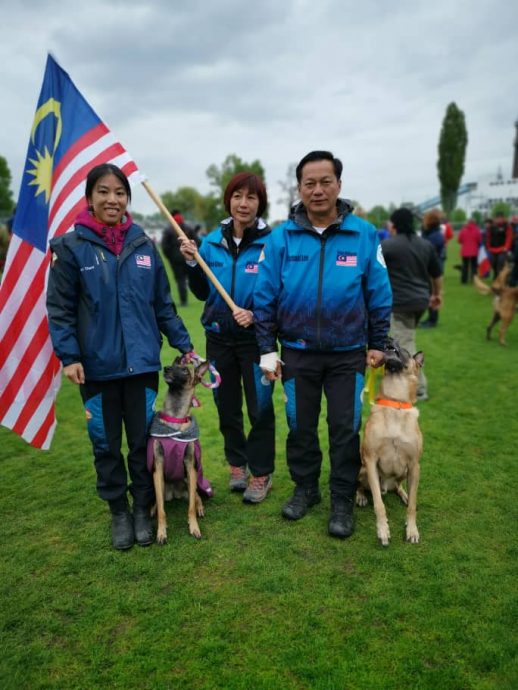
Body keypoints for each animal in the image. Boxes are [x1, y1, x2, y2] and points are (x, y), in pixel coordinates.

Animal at [146, 354, 213, 544]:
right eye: (173, 365)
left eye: (184, 370)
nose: (166, 368)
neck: (175, 420)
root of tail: (175, 494)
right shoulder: (158, 467)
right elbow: (162, 510)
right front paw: (161, 531)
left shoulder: (190, 466)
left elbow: (190, 507)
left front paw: (194, 527)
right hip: (161, 485)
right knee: (159, 501)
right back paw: (152, 509)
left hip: (189, 480)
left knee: (196, 496)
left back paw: (200, 507)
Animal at [358, 338, 426, 544]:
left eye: (406, 350)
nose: (388, 339)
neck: (395, 402)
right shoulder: (370, 460)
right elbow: (379, 504)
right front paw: (383, 530)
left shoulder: (414, 465)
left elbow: (413, 505)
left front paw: (412, 530)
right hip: (363, 470)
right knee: (362, 487)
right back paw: (361, 496)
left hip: (404, 472)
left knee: (399, 486)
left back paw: (403, 493)